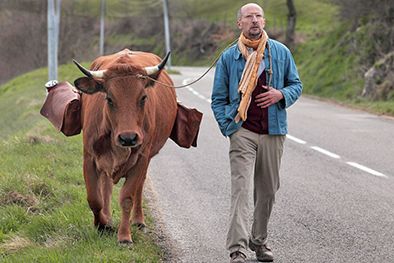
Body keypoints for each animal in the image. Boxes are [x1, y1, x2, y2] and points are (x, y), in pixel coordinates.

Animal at [72, 49, 177, 245]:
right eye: (109, 99)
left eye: (143, 97)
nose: (128, 138)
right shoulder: (89, 157)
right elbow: (94, 199)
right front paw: (102, 224)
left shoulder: (141, 159)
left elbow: (127, 197)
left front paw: (124, 236)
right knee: (106, 187)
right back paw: (107, 217)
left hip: (147, 158)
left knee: (140, 186)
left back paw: (138, 221)